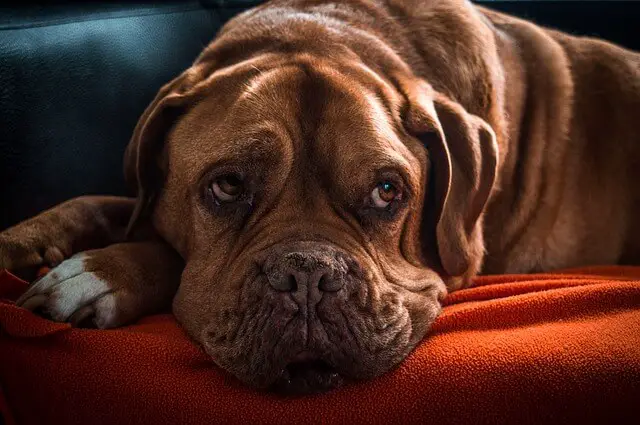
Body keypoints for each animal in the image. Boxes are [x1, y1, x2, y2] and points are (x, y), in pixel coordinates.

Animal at [1, 0, 640, 392]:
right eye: (227, 185)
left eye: (387, 191)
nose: (307, 274)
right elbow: (104, 203)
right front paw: (25, 241)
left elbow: (165, 253)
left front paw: (98, 275)